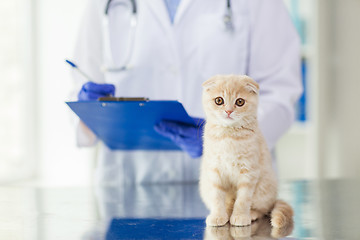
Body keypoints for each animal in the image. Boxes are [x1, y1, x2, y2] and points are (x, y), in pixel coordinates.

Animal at [198, 74, 294, 231]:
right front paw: (218, 215)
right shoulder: (214, 170)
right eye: (219, 100)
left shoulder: (249, 172)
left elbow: (243, 199)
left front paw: (240, 216)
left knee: (262, 209)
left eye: (240, 102)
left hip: (263, 189)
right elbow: (217, 196)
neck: (229, 135)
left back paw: (251, 213)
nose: (228, 111)